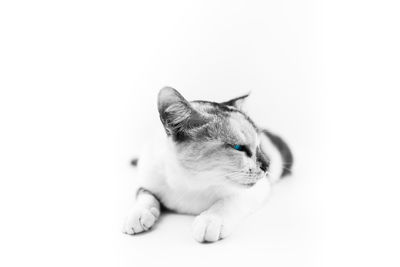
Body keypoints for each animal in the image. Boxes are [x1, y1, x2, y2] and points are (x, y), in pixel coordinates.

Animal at [120, 87, 292, 243]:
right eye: (239, 147)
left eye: (259, 146)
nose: (267, 165)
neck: (190, 183)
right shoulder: (149, 175)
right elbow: (144, 194)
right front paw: (138, 213)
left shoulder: (259, 188)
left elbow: (230, 199)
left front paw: (212, 219)